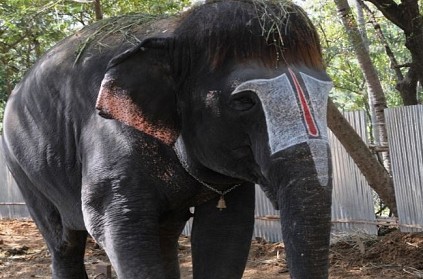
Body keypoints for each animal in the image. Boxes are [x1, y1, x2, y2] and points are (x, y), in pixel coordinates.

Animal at [1, 1, 334, 278]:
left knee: (165, 235)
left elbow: (226, 232)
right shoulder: (109, 136)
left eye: (327, 94)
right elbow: (118, 225)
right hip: (22, 168)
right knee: (64, 242)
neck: (177, 30)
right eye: (244, 102)